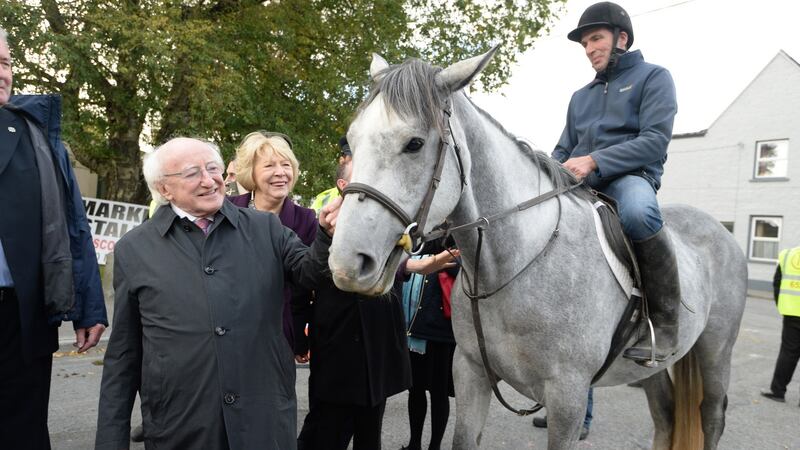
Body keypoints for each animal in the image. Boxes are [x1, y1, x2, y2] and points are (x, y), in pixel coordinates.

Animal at [326, 47, 752, 448]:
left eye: (414, 143)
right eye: (353, 142)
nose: (348, 264)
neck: (515, 266)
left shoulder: (567, 397)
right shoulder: (470, 372)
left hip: (715, 353)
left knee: (712, 417)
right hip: (654, 370)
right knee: (665, 416)